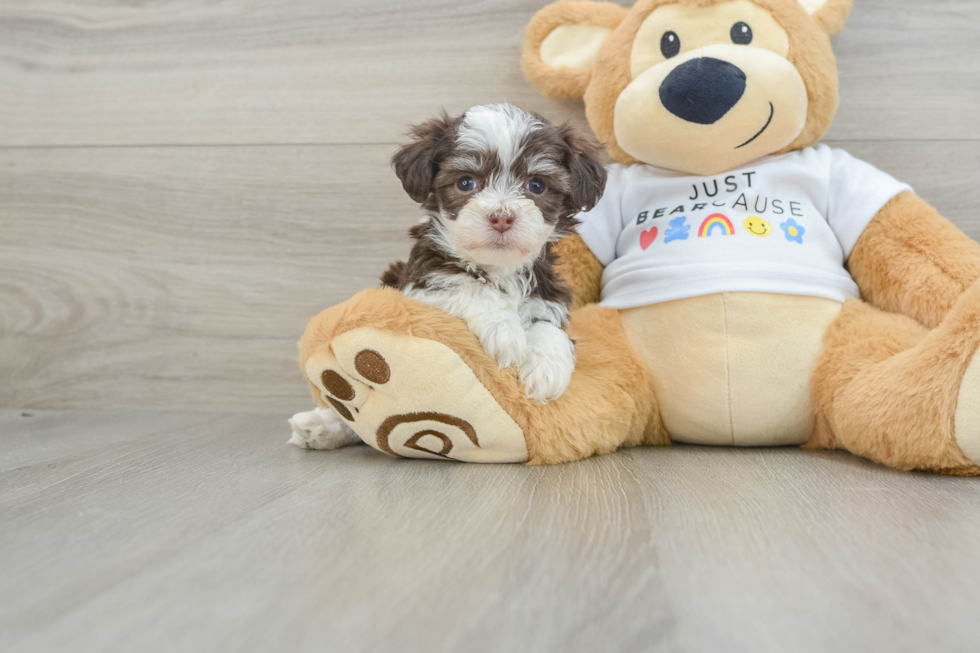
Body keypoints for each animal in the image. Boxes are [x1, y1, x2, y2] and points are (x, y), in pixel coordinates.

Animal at [286, 104, 604, 450]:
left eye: (536, 185)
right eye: (466, 183)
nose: (501, 217)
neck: (496, 268)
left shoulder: (547, 294)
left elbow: (549, 327)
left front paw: (547, 368)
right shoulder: (420, 286)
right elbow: (467, 286)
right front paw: (505, 331)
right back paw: (322, 424)